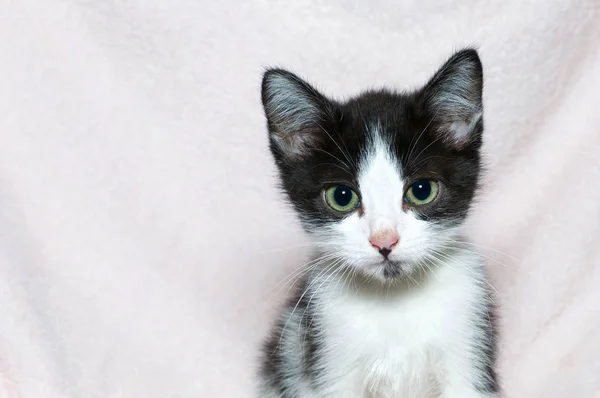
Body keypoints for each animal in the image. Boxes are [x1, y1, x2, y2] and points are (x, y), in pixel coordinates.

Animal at [260, 49, 500, 398]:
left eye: (422, 190)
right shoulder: (327, 351)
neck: (394, 301)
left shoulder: (468, 346)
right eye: (342, 196)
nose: (384, 241)